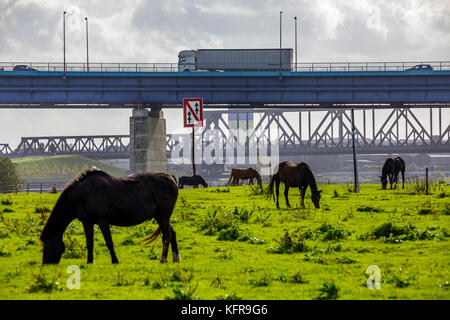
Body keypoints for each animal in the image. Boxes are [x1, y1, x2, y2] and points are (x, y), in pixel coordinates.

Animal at [39, 169, 179, 264]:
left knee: (167, 235)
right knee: (172, 233)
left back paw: (163, 259)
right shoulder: (87, 222)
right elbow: (89, 243)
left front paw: (115, 260)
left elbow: (109, 242)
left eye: (48, 245)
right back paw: (176, 258)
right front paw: (90, 262)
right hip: (161, 217)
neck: (84, 194)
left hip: (162, 216)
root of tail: (170, 177)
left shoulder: (103, 221)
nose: (46, 264)